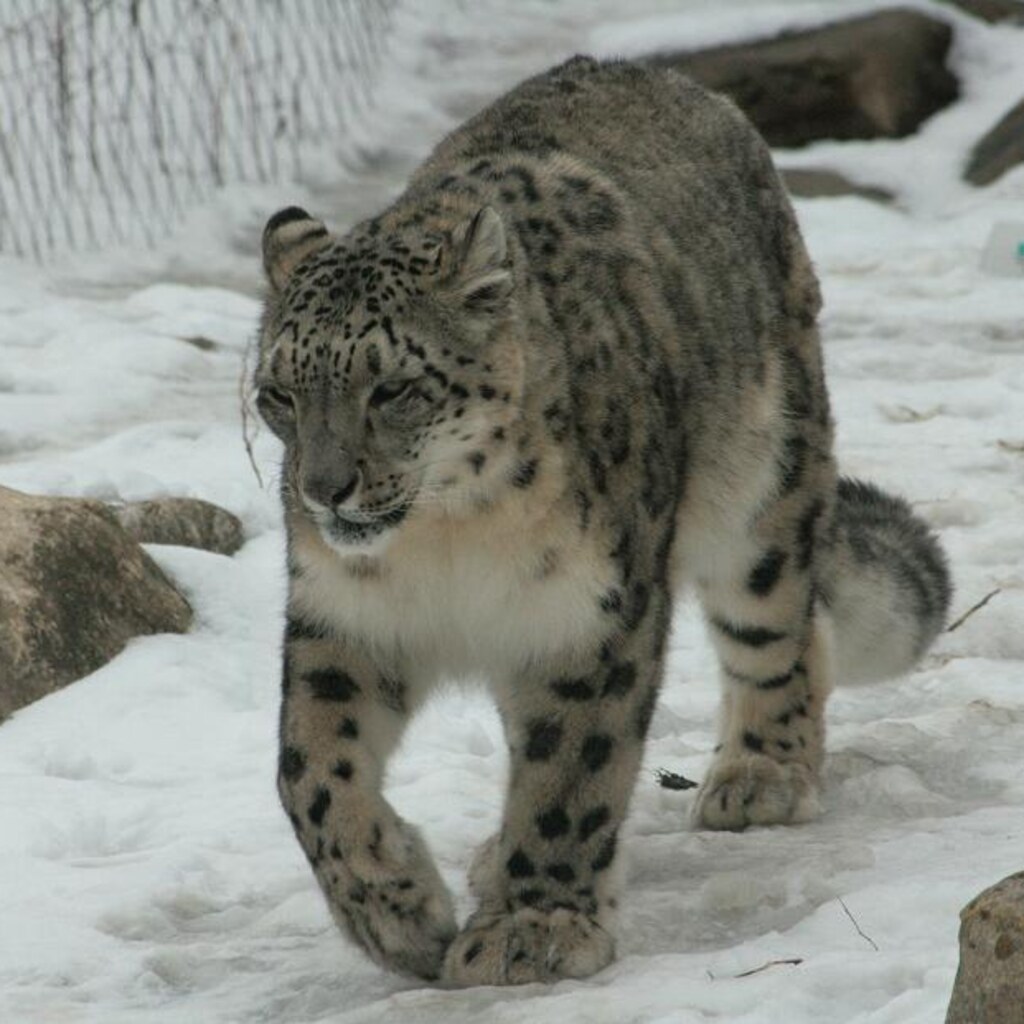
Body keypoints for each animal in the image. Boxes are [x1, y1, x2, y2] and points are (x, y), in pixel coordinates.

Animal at [254, 56, 951, 987]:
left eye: (392, 387)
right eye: (278, 393)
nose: (323, 490)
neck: (447, 537)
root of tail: (664, 74)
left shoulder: (590, 613)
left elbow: (571, 770)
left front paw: (532, 927)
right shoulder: (345, 617)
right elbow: (310, 771)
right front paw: (397, 913)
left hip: (761, 488)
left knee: (781, 629)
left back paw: (761, 773)